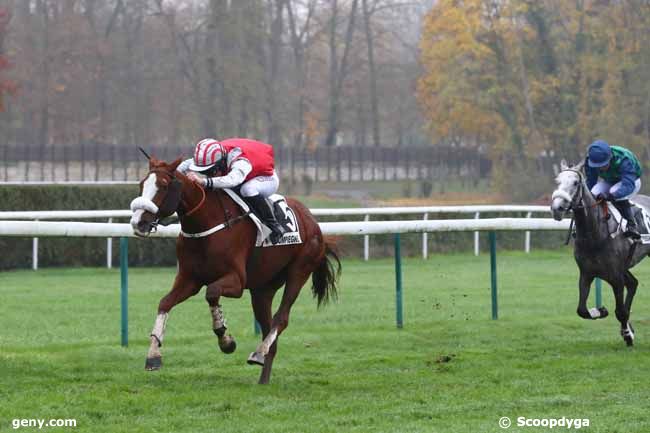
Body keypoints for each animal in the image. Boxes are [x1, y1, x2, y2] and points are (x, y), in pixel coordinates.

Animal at [128, 156, 340, 384]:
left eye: (164, 185)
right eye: (141, 184)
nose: (138, 222)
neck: (205, 225)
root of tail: (313, 221)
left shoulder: (236, 281)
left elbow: (211, 293)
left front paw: (226, 341)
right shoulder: (189, 279)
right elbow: (165, 303)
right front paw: (153, 356)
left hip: (299, 271)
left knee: (281, 318)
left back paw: (258, 353)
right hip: (262, 289)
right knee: (269, 329)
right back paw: (263, 376)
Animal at [548, 160, 644, 346]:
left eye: (575, 183)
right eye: (557, 181)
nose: (557, 208)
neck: (595, 234)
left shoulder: (615, 277)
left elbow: (620, 312)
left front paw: (627, 335)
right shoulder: (587, 273)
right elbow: (582, 310)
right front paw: (601, 311)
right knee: (633, 283)